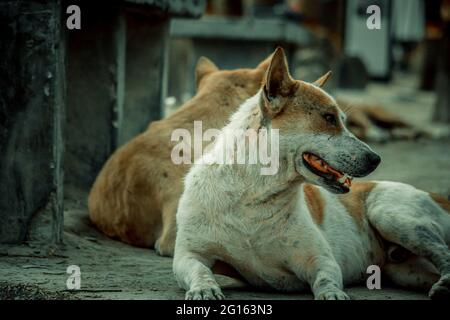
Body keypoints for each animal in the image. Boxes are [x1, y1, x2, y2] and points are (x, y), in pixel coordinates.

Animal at [174, 47, 450, 300]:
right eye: (329, 118)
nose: (376, 159)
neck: (252, 196)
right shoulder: (187, 255)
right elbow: (199, 270)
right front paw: (204, 288)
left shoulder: (319, 259)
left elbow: (326, 279)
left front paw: (333, 294)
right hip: (406, 271)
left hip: (392, 215)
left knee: (444, 253)